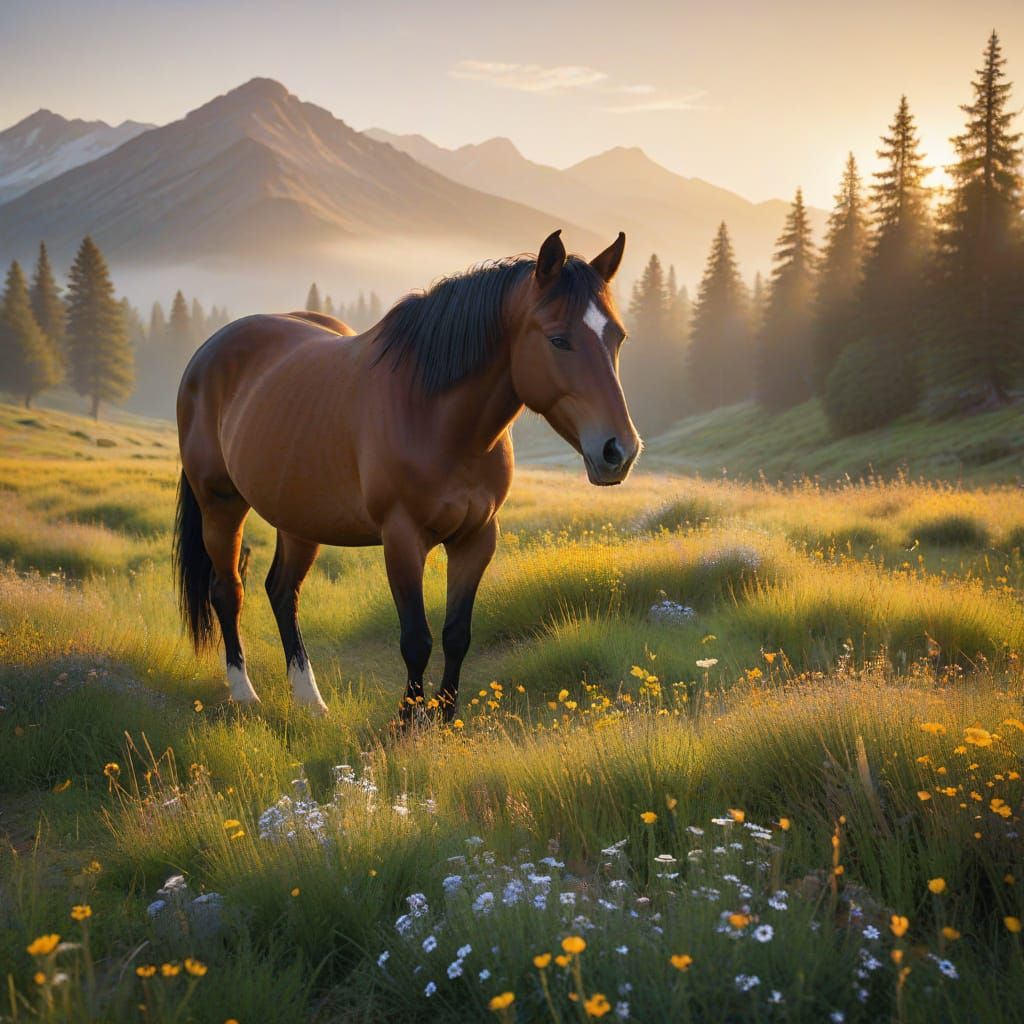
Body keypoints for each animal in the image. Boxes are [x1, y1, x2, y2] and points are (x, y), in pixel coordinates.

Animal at [173, 230, 640, 722]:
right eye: (558, 340)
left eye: (618, 337)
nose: (618, 451)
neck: (434, 415)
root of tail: (208, 353)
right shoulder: (402, 539)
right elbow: (416, 640)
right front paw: (407, 721)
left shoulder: (477, 538)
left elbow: (457, 634)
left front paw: (446, 717)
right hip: (220, 504)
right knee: (228, 591)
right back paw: (243, 693)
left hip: (298, 517)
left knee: (282, 592)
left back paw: (310, 700)